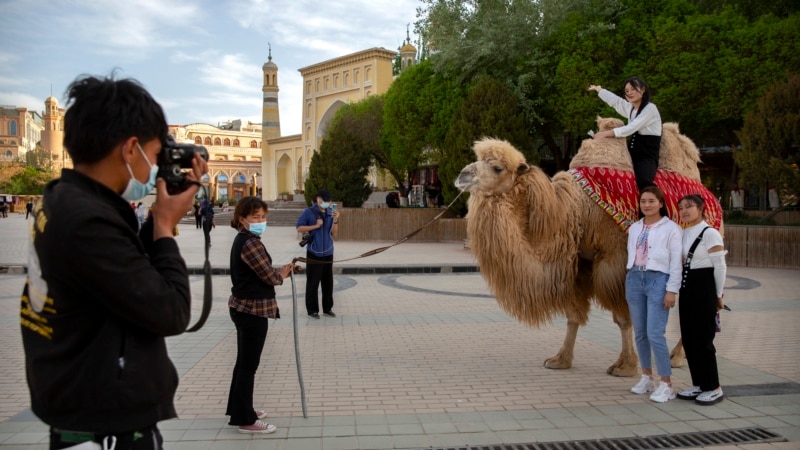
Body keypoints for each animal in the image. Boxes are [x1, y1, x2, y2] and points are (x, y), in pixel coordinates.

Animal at [454, 118, 720, 374]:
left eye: (497, 168)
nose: (462, 176)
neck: (574, 212)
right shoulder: (580, 263)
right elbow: (573, 315)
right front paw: (561, 359)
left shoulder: (614, 260)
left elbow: (622, 317)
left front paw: (624, 366)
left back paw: (676, 357)